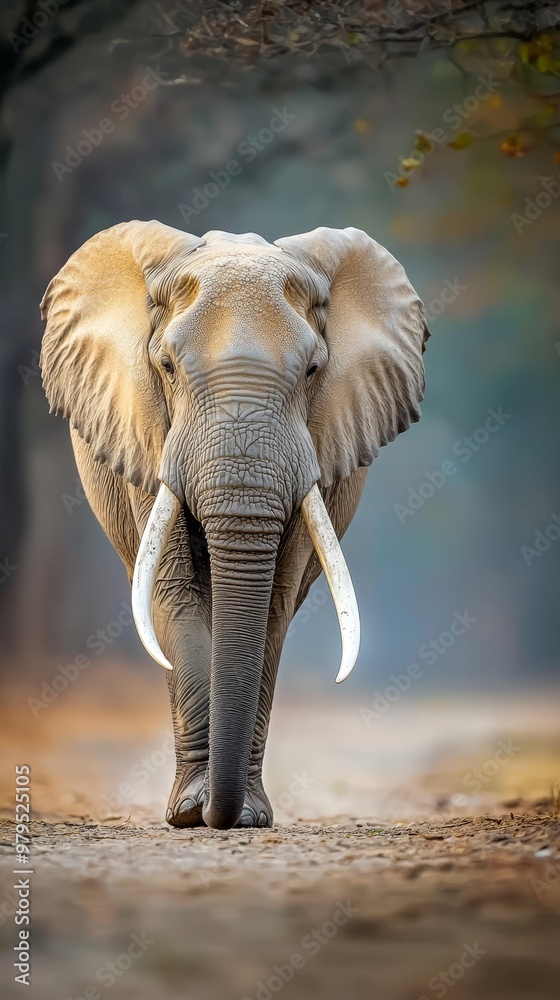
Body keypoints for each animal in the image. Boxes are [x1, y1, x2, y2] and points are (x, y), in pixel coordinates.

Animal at [40, 221, 429, 830]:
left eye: (313, 371)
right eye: (167, 368)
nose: (218, 816)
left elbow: (272, 601)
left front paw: (246, 815)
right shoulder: (148, 437)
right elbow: (174, 592)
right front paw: (188, 815)